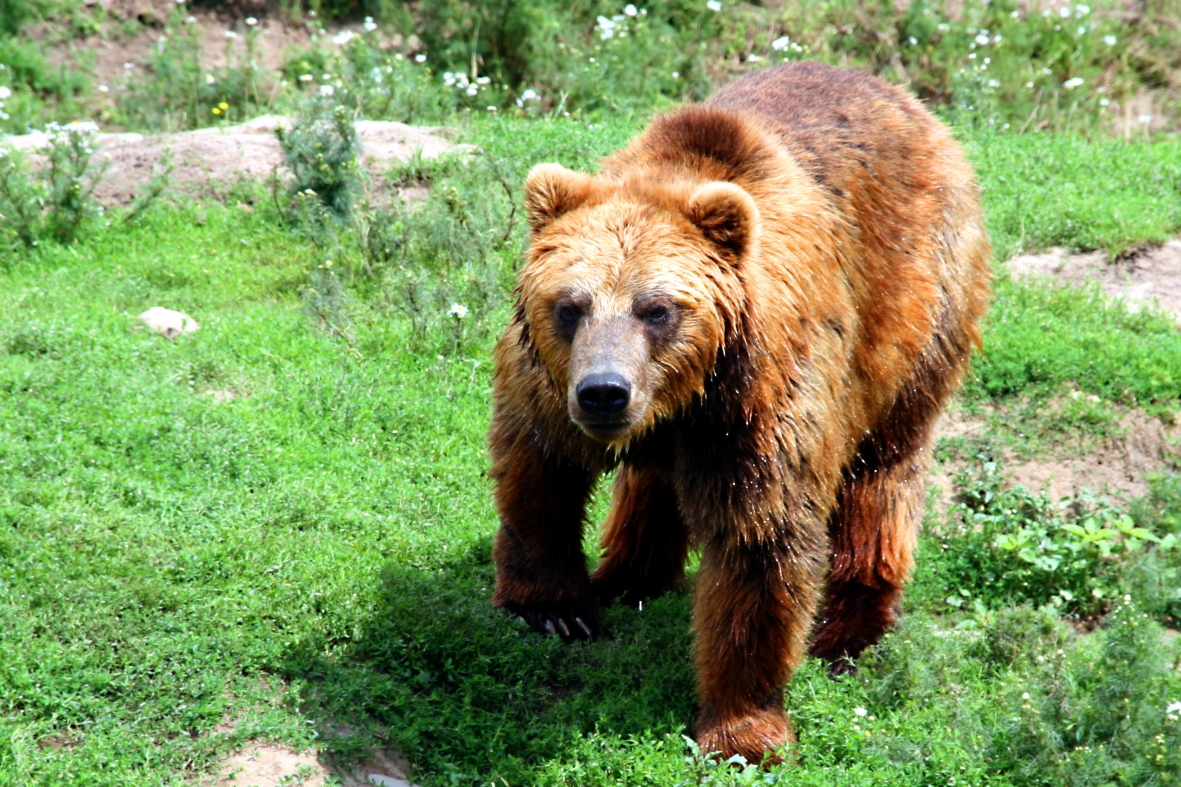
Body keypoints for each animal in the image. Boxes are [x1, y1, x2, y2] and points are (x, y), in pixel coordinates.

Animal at [484, 61, 992, 761]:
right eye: (570, 305)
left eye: (656, 309)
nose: (605, 391)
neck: (684, 396)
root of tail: (910, 103)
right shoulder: (547, 385)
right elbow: (538, 469)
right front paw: (556, 607)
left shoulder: (760, 402)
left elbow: (760, 543)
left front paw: (742, 729)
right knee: (655, 481)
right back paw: (632, 573)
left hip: (915, 307)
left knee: (884, 468)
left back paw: (849, 626)